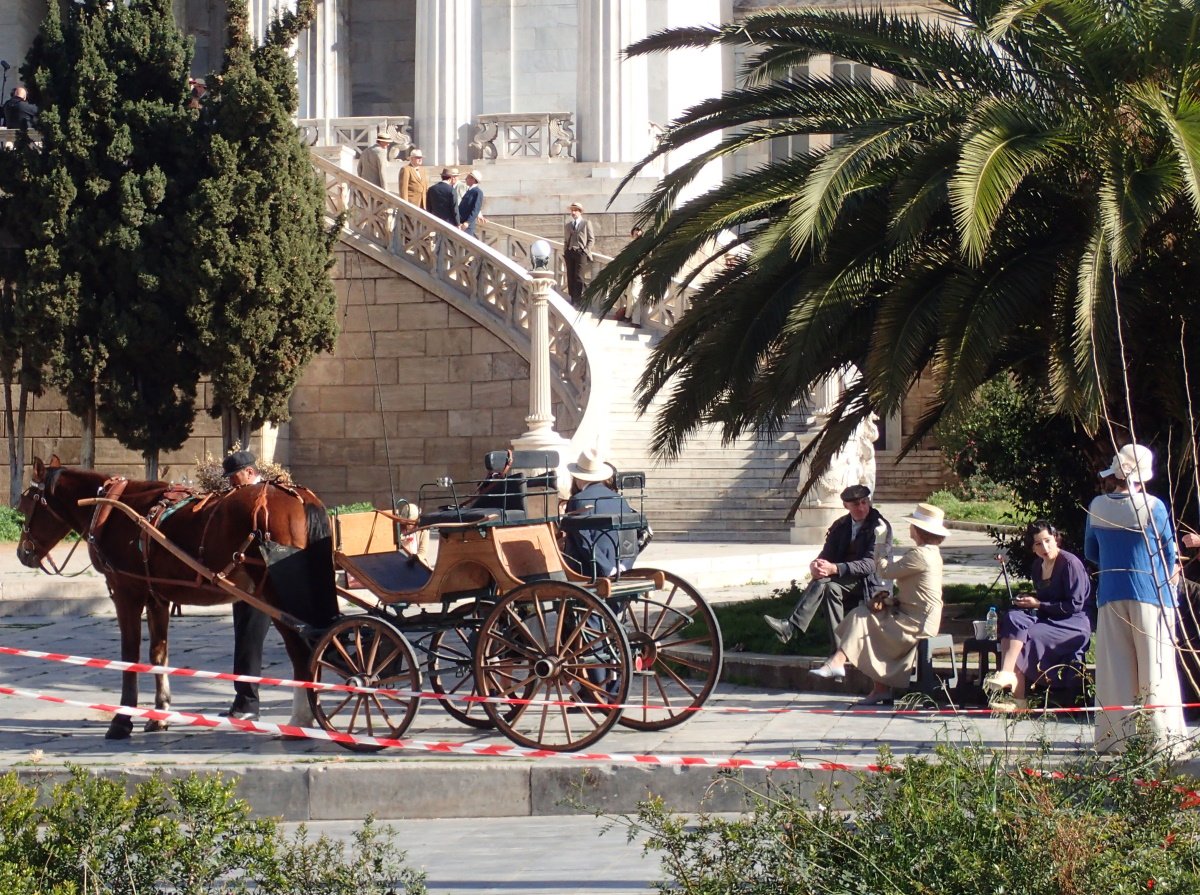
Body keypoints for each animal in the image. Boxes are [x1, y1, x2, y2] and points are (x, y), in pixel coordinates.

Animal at [16, 455, 340, 734]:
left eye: (26, 504)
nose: (23, 553)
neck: (111, 507)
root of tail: (300, 497)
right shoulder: (157, 597)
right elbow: (158, 653)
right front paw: (159, 714)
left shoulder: (126, 592)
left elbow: (130, 654)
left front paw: (122, 720)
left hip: (278, 596)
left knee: (303, 651)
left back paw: (300, 720)